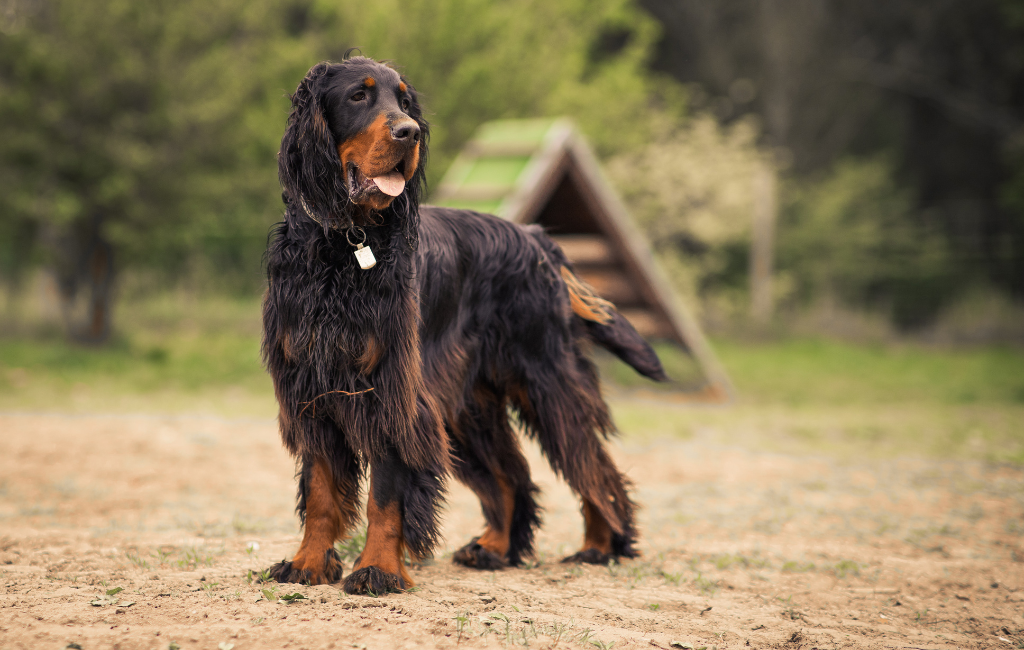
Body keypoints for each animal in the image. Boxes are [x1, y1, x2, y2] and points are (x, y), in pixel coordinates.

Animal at [260, 56, 667, 593]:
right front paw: (308, 563)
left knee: (593, 466)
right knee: (512, 476)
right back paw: (495, 548)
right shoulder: (312, 386)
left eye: (405, 101)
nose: (408, 132)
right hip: (469, 406)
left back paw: (600, 545)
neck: (344, 246)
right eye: (358, 96)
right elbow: (322, 489)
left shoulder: (394, 391)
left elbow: (386, 494)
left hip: (547, 380)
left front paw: (377, 569)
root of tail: (537, 240)